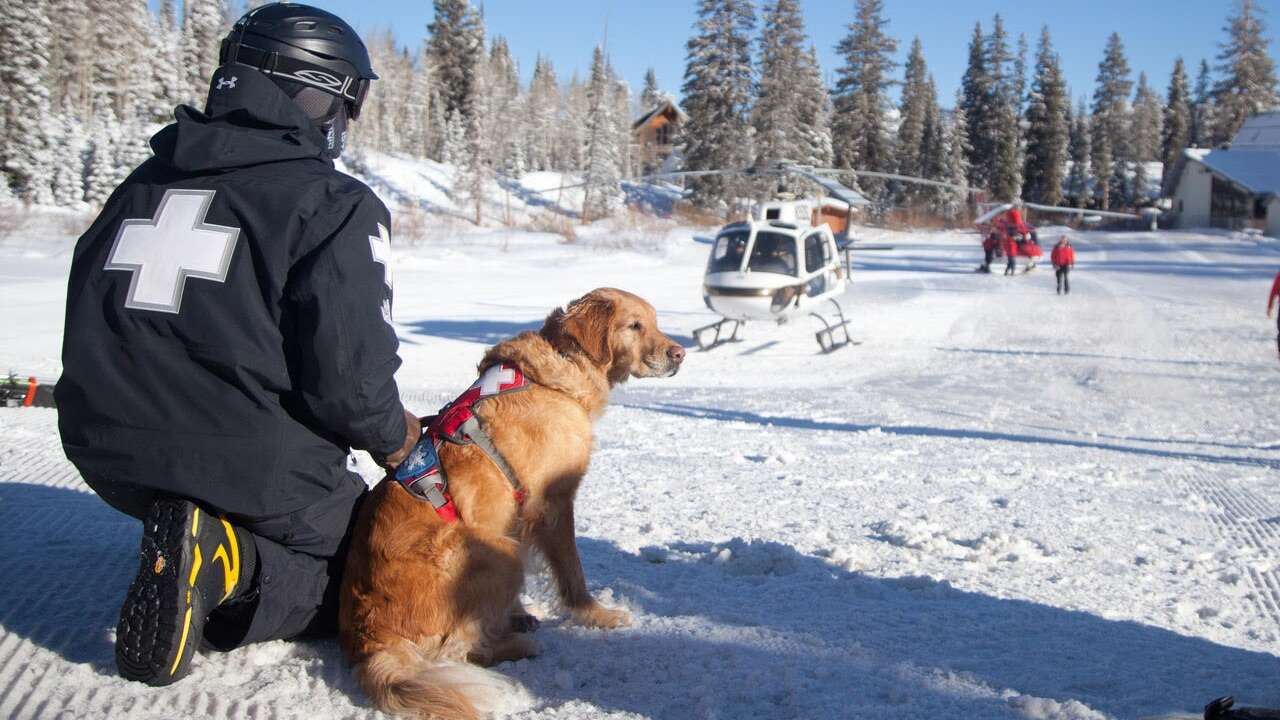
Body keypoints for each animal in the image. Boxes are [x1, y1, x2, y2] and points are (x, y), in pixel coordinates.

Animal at [335, 286, 686, 717]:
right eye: (634, 325)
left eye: (654, 322)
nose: (680, 354)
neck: (561, 371)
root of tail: (370, 641)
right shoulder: (554, 503)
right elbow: (572, 574)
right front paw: (596, 615)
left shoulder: (518, 514)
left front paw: (519, 612)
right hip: (500, 551)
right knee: (457, 650)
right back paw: (518, 646)